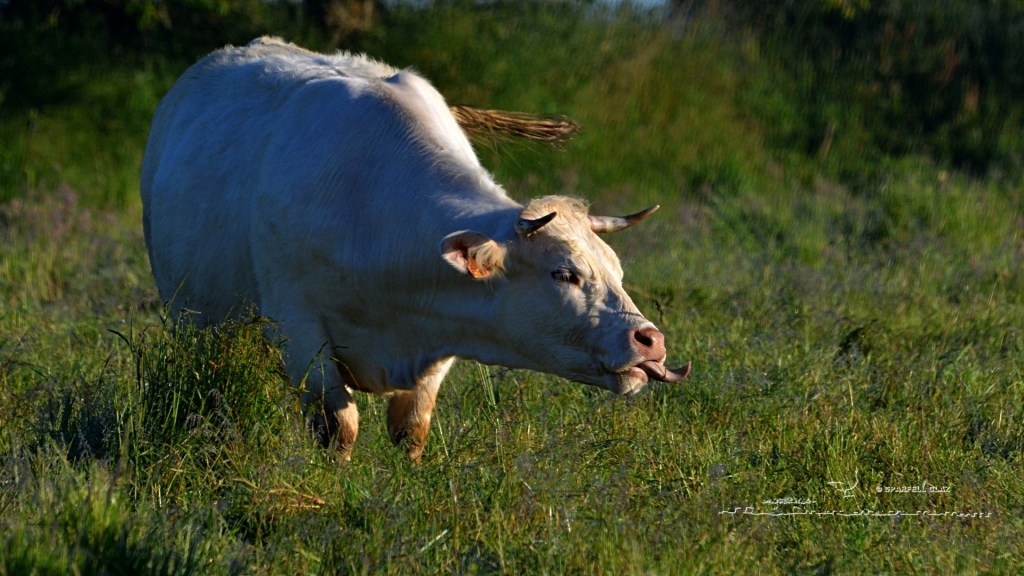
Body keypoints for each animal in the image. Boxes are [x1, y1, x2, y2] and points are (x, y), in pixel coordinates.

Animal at [141, 37, 689, 461]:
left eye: (618, 271)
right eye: (564, 273)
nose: (651, 341)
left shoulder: (439, 344)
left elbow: (411, 431)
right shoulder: (298, 329)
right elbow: (338, 427)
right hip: (190, 317)